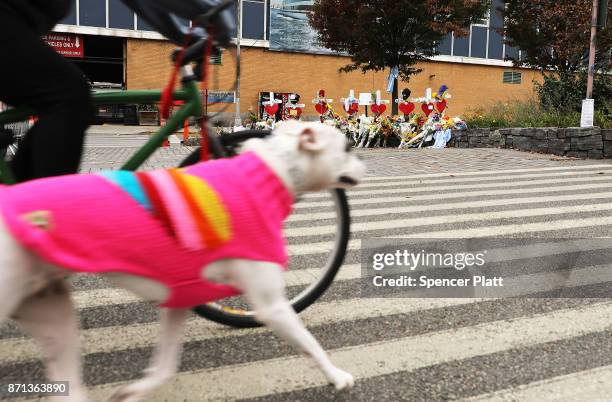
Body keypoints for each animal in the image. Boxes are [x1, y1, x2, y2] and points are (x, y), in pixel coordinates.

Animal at [0, 121, 364, 400]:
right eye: (347, 147)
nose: (364, 161)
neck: (272, 172)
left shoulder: (180, 298)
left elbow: (164, 367)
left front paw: (134, 390)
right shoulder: (272, 307)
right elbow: (311, 344)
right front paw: (336, 375)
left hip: (53, 316)